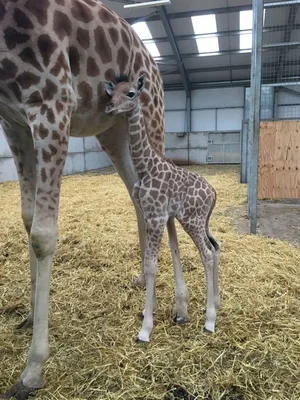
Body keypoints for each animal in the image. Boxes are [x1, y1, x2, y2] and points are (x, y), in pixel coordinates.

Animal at [0, 0, 169, 396]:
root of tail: (155, 67)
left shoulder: (50, 99)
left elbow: (43, 234)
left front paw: (32, 369)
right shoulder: (12, 119)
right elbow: (27, 219)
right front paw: (30, 315)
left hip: (151, 117)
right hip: (114, 131)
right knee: (138, 194)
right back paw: (143, 279)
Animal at [104, 76, 219, 342]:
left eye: (131, 93)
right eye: (110, 93)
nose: (109, 108)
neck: (146, 167)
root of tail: (213, 194)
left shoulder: (157, 217)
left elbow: (151, 266)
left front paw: (145, 329)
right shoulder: (150, 216)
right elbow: (149, 263)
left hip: (192, 220)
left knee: (207, 254)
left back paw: (209, 321)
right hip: (199, 222)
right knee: (214, 249)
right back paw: (216, 304)